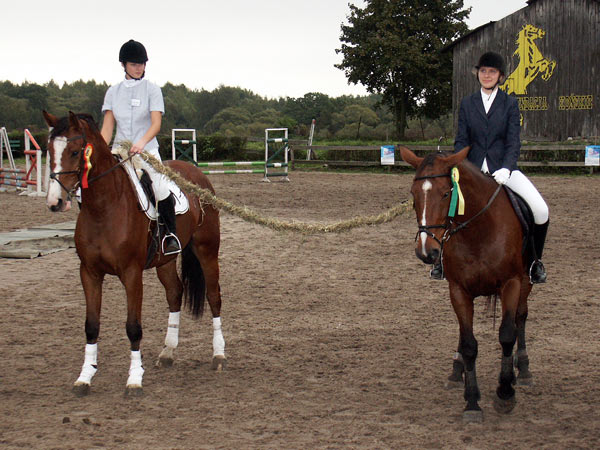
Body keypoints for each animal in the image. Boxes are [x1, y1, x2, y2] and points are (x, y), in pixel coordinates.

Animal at [42, 112, 225, 398]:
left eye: (74, 151)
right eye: (49, 150)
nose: (55, 202)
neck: (103, 208)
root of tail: (196, 174)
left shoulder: (131, 274)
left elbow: (133, 327)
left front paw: (135, 379)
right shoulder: (89, 273)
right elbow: (91, 325)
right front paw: (85, 377)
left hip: (207, 249)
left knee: (214, 296)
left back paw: (218, 355)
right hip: (165, 260)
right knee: (175, 293)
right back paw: (168, 352)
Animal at [398, 147, 536, 422]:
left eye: (445, 193)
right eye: (413, 195)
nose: (426, 252)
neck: (478, 230)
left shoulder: (512, 283)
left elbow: (507, 334)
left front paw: (505, 393)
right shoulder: (458, 291)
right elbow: (470, 343)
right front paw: (472, 401)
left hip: (526, 282)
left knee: (521, 317)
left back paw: (523, 368)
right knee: (464, 335)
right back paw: (456, 370)